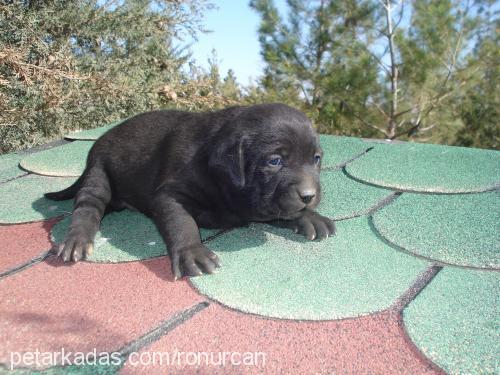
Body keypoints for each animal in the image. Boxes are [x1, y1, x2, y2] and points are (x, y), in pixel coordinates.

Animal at [46, 103, 336, 280]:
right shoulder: (170, 195)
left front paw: (310, 217)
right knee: (88, 207)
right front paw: (192, 252)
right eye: (275, 161)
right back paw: (78, 240)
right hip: (99, 173)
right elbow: (181, 222)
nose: (309, 195)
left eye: (316, 159)